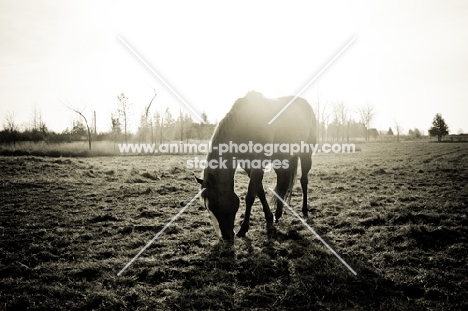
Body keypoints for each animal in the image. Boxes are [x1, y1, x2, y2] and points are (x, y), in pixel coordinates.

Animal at [196, 91, 316, 240]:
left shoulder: (258, 165)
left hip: (306, 153)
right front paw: (269, 218)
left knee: (303, 180)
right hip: (281, 160)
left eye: (217, 203)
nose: (226, 237)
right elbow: (260, 192)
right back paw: (278, 213)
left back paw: (304, 210)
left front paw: (243, 229)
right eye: (208, 208)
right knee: (282, 183)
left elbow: (250, 196)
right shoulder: (249, 167)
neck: (245, 125)